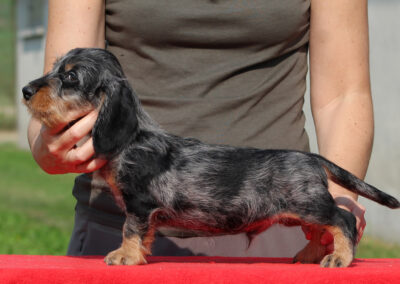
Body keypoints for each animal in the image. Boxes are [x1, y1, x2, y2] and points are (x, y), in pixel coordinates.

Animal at [22, 47, 400, 268]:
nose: (25, 90)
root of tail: (314, 159)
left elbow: (131, 230)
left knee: (342, 220)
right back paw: (309, 256)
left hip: (310, 204)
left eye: (71, 76)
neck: (132, 139)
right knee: (319, 231)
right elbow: (142, 234)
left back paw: (339, 258)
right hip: (302, 212)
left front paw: (124, 256)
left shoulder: (140, 204)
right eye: (55, 68)